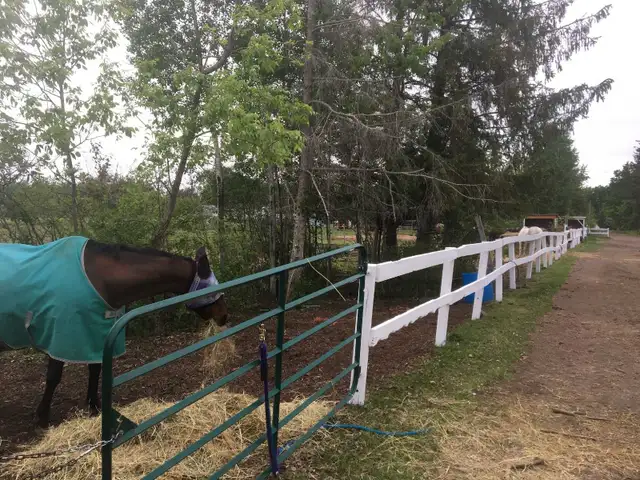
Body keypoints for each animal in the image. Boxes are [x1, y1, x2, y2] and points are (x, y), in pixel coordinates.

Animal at [0, 236, 229, 429]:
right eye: (212, 286)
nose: (224, 316)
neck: (101, 279)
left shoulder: (96, 332)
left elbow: (95, 370)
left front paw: (94, 407)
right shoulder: (61, 337)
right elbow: (54, 377)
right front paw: (42, 418)